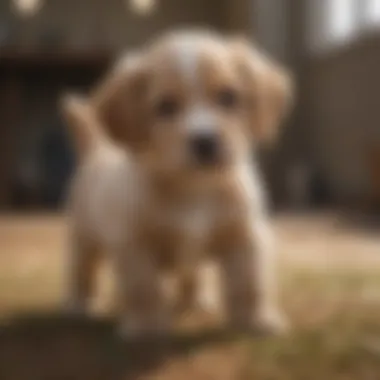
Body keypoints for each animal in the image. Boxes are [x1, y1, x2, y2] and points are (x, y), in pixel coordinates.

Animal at [62, 30, 294, 338]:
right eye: (165, 107)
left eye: (228, 97)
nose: (205, 141)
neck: (194, 187)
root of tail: (97, 148)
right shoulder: (135, 245)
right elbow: (143, 288)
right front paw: (147, 326)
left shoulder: (244, 237)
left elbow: (249, 284)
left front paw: (256, 321)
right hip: (84, 238)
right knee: (82, 272)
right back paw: (78, 306)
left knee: (191, 277)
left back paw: (195, 303)